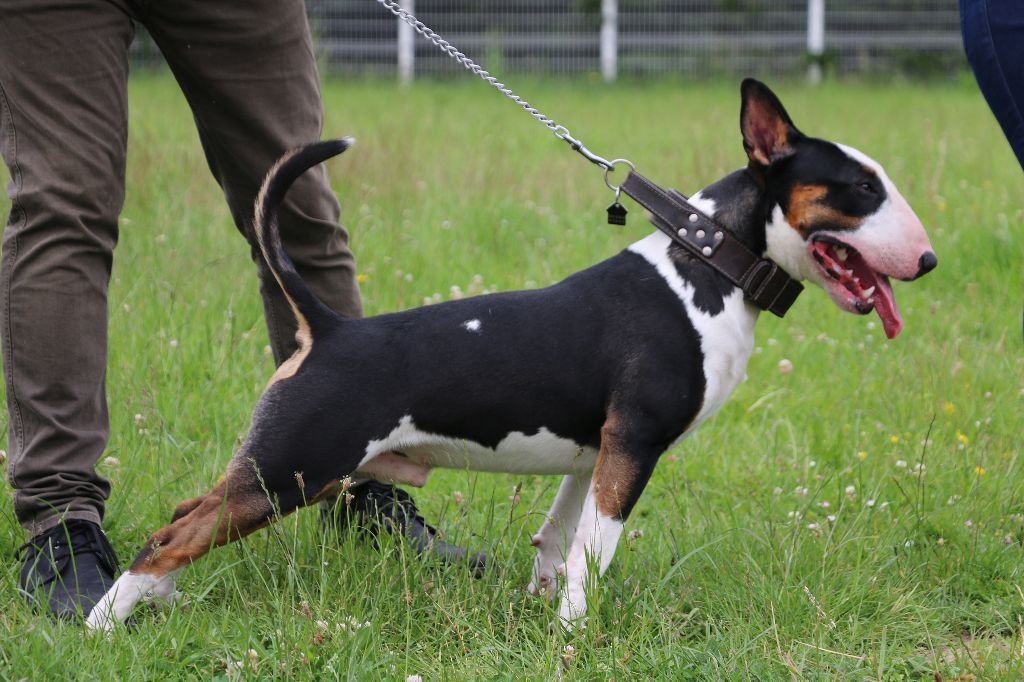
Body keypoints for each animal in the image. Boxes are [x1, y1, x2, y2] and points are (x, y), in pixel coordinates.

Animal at [88, 78, 937, 626]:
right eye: (861, 189)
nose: (929, 262)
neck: (707, 265)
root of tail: (326, 329)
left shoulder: (595, 450)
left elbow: (560, 540)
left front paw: (541, 615)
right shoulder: (634, 444)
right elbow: (596, 549)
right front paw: (574, 636)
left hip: (280, 466)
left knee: (187, 515)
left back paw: (153, 603)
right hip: (295, 464)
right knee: (169, 537)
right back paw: (102, 625)